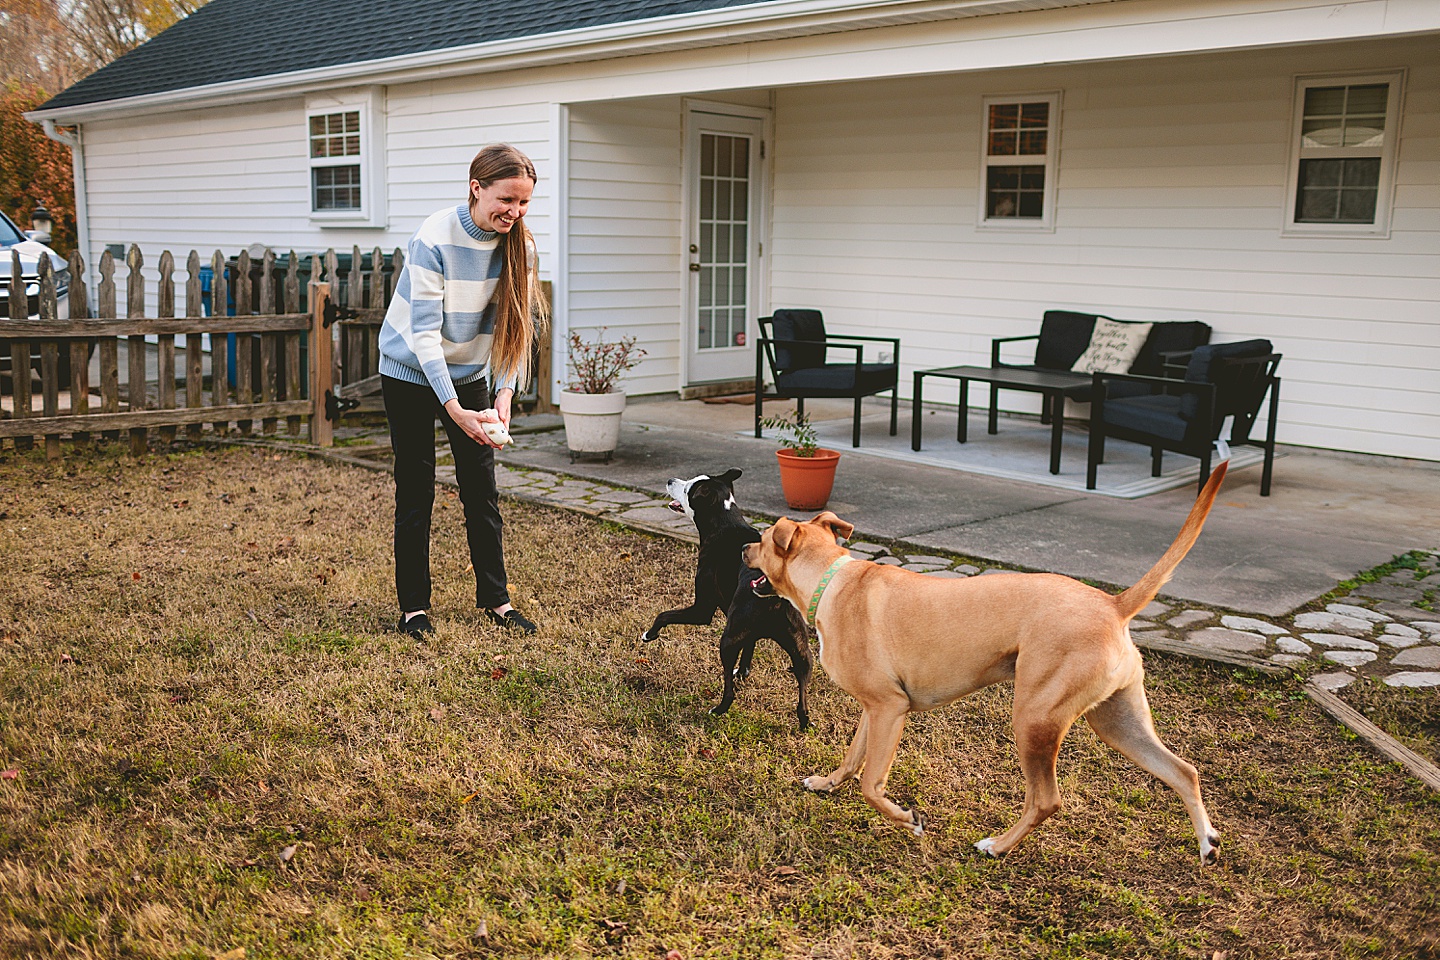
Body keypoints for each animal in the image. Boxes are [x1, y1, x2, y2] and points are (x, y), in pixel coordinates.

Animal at [639, 472, 812, 728]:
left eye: (688, 488)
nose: (670, 480)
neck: (725, 521)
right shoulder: (746, 632)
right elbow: (750, 646)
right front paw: (744, 671)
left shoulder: (702, 611)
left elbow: (664, 614)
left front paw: (649, 635)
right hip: (801, 650)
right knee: (803, 688)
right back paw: (804, 721)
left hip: (727, 642)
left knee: (729, 690)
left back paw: (719, 709)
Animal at [743, 460, 1226, 869]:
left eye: (764, 540)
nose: (745, 545)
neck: (832, 581)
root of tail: (1112, 604)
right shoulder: (874, 711)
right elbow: (851, 760)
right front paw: (825, 783)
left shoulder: (889, 708)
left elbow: (870, 784)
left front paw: (908, 819)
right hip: (1118, 722)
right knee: (1184, 772)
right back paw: (1207, 843)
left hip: (1034, 718)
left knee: (1046, 800)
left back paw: (997, 846)